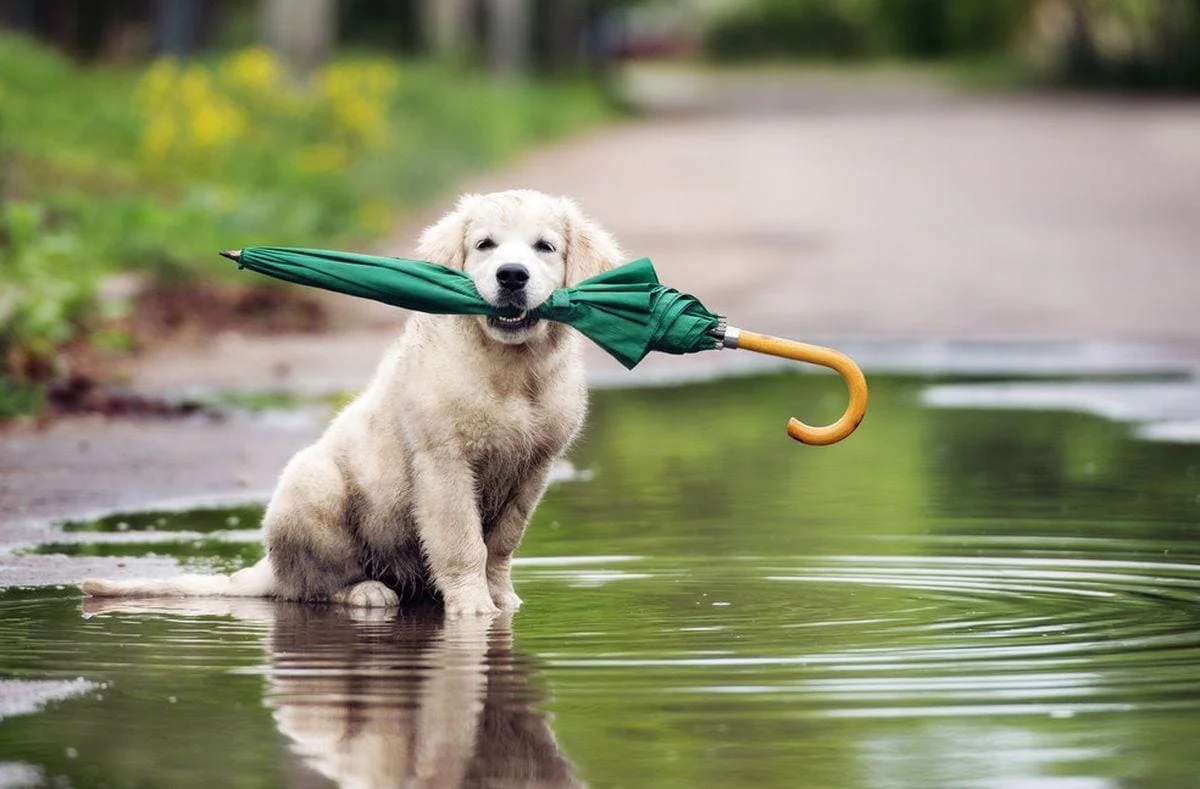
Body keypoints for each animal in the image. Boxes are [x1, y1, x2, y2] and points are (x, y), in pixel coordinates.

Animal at [81, 190, 624, 613]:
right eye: (484, 245)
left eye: (544, 247)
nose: (512, 275)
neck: (511, 368)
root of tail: (268, 567)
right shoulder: (444, 463)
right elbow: (462, 542)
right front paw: (473, 609)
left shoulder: (534, 468)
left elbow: (502, 544)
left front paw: (502, 599)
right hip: (313, 487)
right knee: (310, 586)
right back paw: (364, 593)